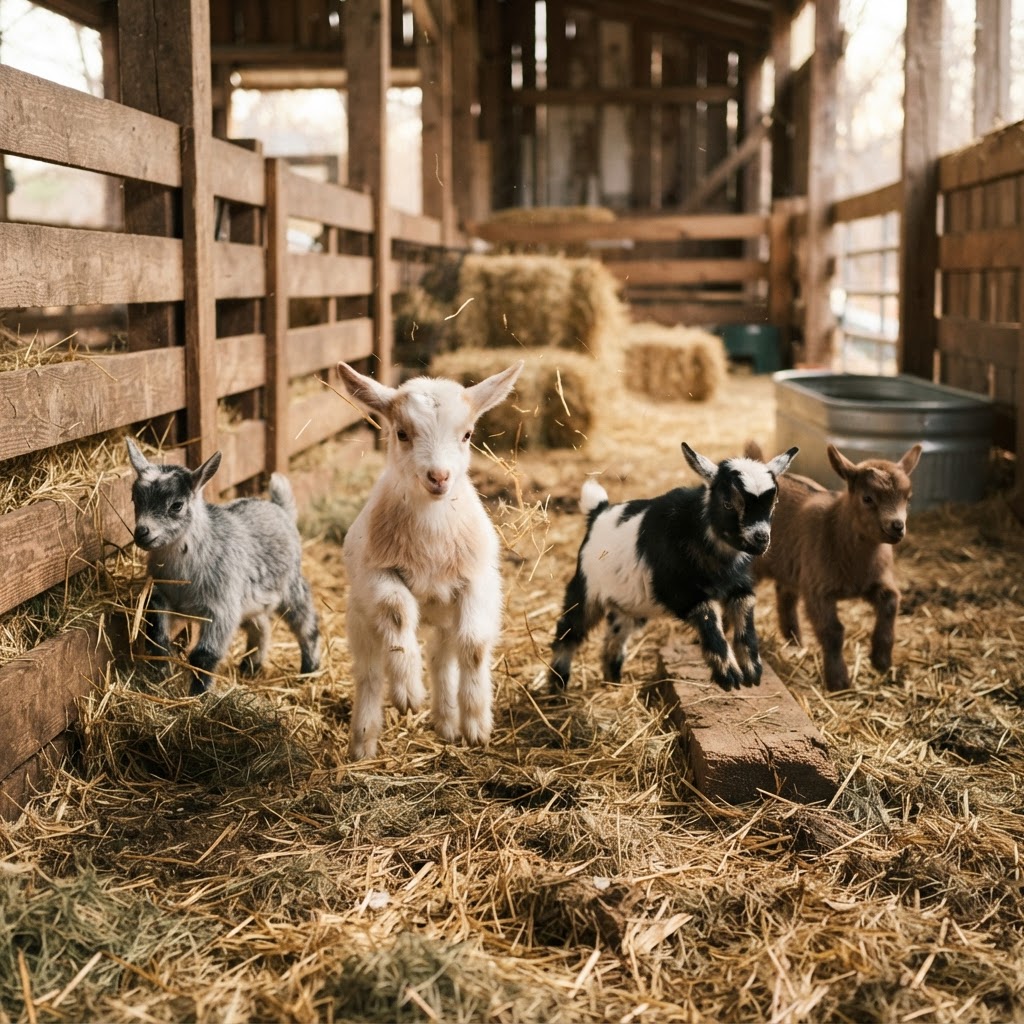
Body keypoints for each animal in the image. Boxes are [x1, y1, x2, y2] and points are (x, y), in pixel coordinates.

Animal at [126, 439, 321, 694]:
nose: (142, 532)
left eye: (177, 505)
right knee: (261, 625)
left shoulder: (221, 608)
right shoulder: (160, 594)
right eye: (135, 498)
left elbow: (203, 656)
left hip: (290, 585)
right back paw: (251, 666)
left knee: (306, 623)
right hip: (251, 599)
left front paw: (198, 695)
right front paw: (161, 668)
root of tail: (279, 508)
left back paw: (310, 668)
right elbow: (156, 634)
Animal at [336, 359, 523, 760]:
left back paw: (448, 723)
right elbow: (397, 611)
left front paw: (476, 724)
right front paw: (408, 692)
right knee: (370, 672)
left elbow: (474, 645)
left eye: (467, 434)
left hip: (445, 618)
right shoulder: (375, 574)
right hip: (358, 617)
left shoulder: (480, 582)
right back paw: (363, 742)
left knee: (443, 656)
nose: (439, 476)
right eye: (402, 433)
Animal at [549, 442, 798, 692]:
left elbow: (744, 612)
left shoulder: (739, 584)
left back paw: (614, 683)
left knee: (615, 636)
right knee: (569, 630)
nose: (761, 539)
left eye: (774, 503)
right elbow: (707, 616)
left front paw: (752, 670)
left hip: (630, 604)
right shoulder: (678, 590)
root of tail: (598, 512)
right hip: (587, 587)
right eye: (728, 503)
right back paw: (557, 688)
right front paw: (729, 675)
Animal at [746, 440, 922, 692]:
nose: (897, 526)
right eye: (867, 498)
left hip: (791, 566)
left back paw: (794, 640)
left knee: (785, 594)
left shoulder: (877, 581)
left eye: (907, 498)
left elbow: (890, 603)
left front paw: (881, 661)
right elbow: (833, 632)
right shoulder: (818, 590)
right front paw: (838, 680)